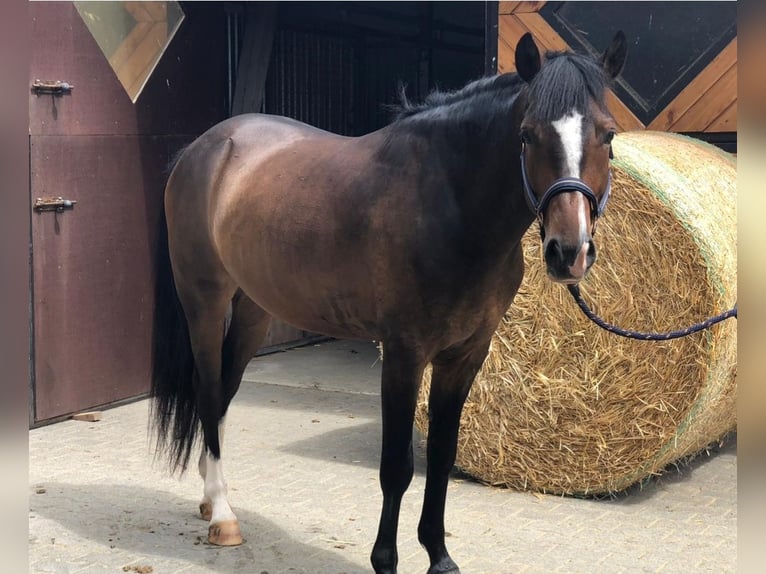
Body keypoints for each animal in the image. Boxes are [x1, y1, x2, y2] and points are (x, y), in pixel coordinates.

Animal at [150, 31, 627, 574]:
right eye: (526, 135)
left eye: (608, 136)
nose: (569, 252)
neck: (450, 207)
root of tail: (203, 148)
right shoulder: (404, 354)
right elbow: (397, 467)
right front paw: (386, 559)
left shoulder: (465, 356)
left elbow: (441, 454)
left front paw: (439, 555)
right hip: (204, 302)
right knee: (208, 391)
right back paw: (223, 515)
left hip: (254, 311)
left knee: (225, 394)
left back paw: (212, 499)